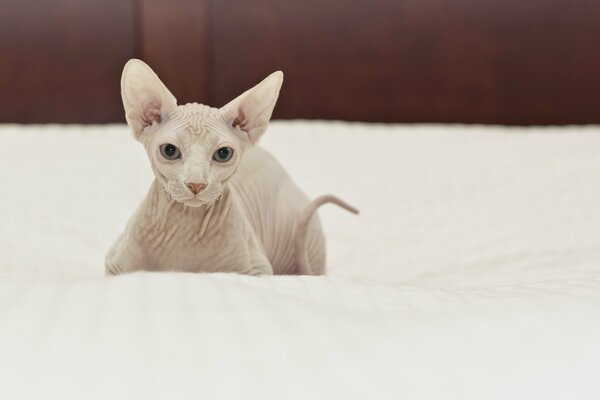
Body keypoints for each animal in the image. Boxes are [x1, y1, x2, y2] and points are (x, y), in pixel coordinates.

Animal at [104, 59, 356, 276]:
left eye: (223, 154)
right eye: (169, 150)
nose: (196, 184)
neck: (185, 224)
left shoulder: (258, 270)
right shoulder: (114, 266)